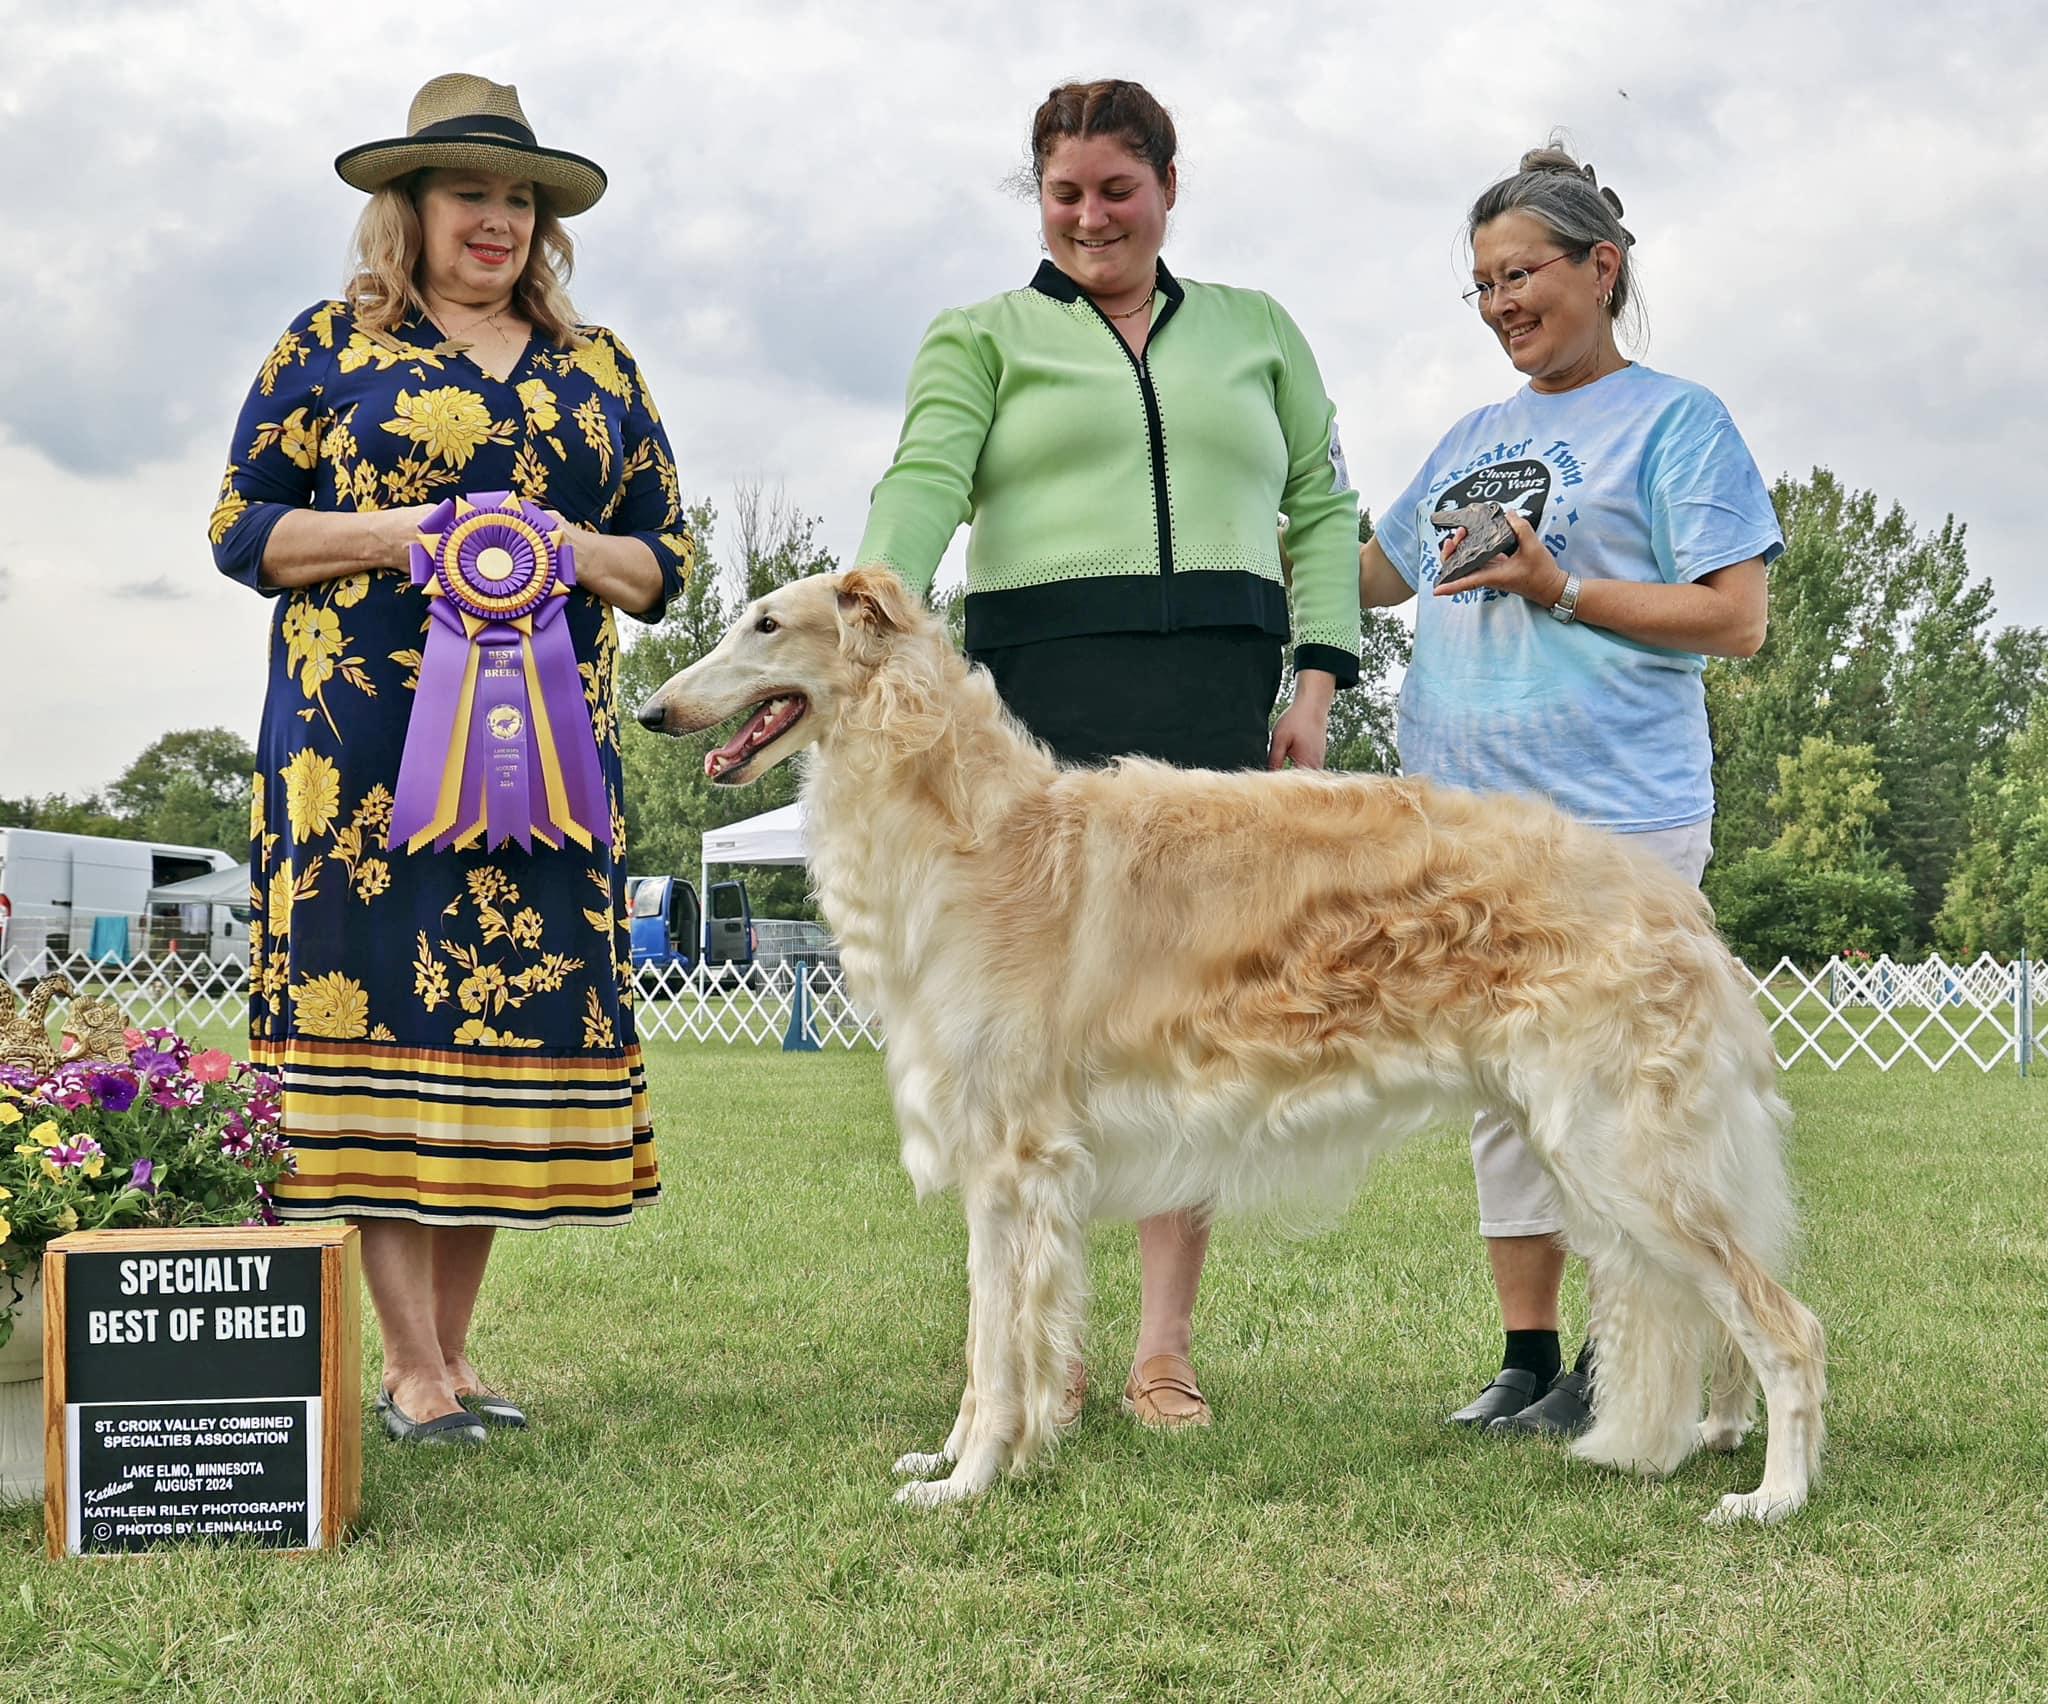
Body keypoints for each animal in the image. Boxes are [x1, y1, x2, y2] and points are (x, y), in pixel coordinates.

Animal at [636, 567, 1826, 1525]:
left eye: (766, 624)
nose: (650, 710)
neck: (974, 828)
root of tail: (1676, 902)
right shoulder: (999, 1167)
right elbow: (991, 1353)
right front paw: (961, 1458)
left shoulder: (1015, 1160)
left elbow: (997, 1351)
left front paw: (968, 1484)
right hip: (1608, 1157)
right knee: (1728, 1321)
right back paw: (1714, 1440)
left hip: (1620, 1154)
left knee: (1789, 1326)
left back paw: (1771, 1496)